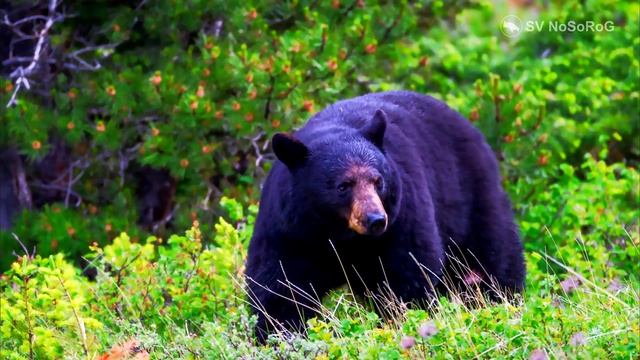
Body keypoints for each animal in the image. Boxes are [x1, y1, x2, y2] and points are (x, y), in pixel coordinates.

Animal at [245, 91, 524, 342]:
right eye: (343, 186)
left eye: (377, 181)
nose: (375, 219)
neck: (340, 236)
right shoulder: (289, 231)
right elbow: (279, 287)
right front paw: (280, 335)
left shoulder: (402, 217)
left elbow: (408, 273)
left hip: (473, 198)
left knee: (492, 257)